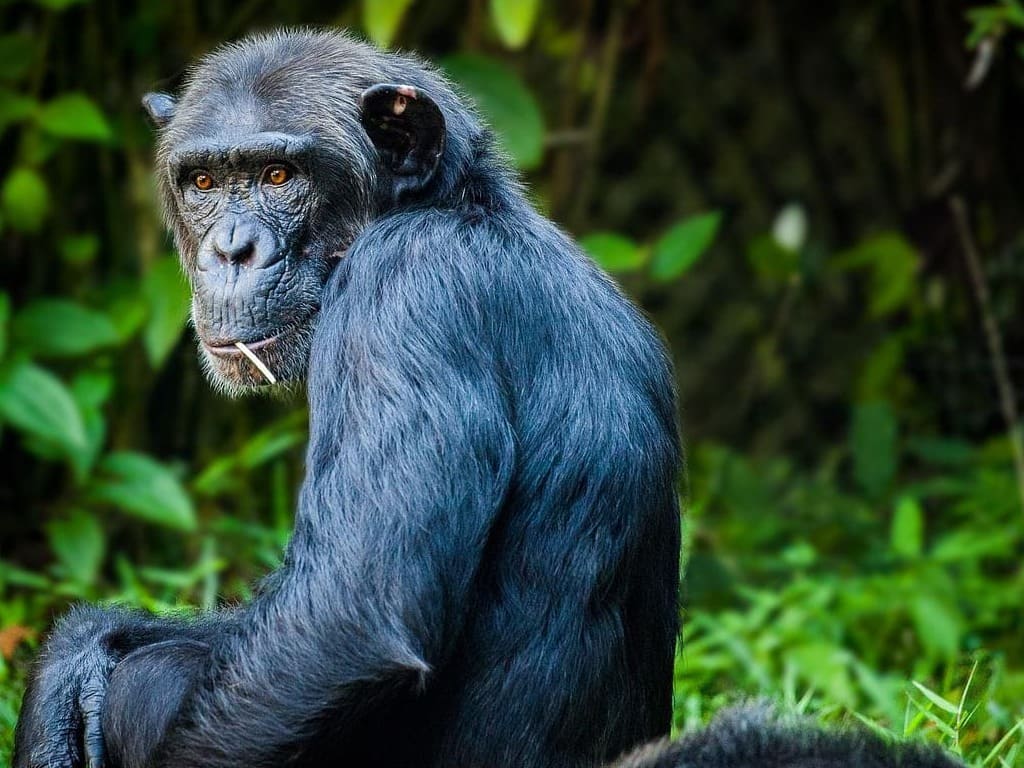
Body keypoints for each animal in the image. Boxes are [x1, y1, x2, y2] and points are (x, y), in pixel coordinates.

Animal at [16, 27, 966, 768]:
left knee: (163, 685)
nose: (231, 249)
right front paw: (75, 657)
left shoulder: (404, 299)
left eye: (281, 176)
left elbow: (344, 619)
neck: (451, 209)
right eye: (206, 184)